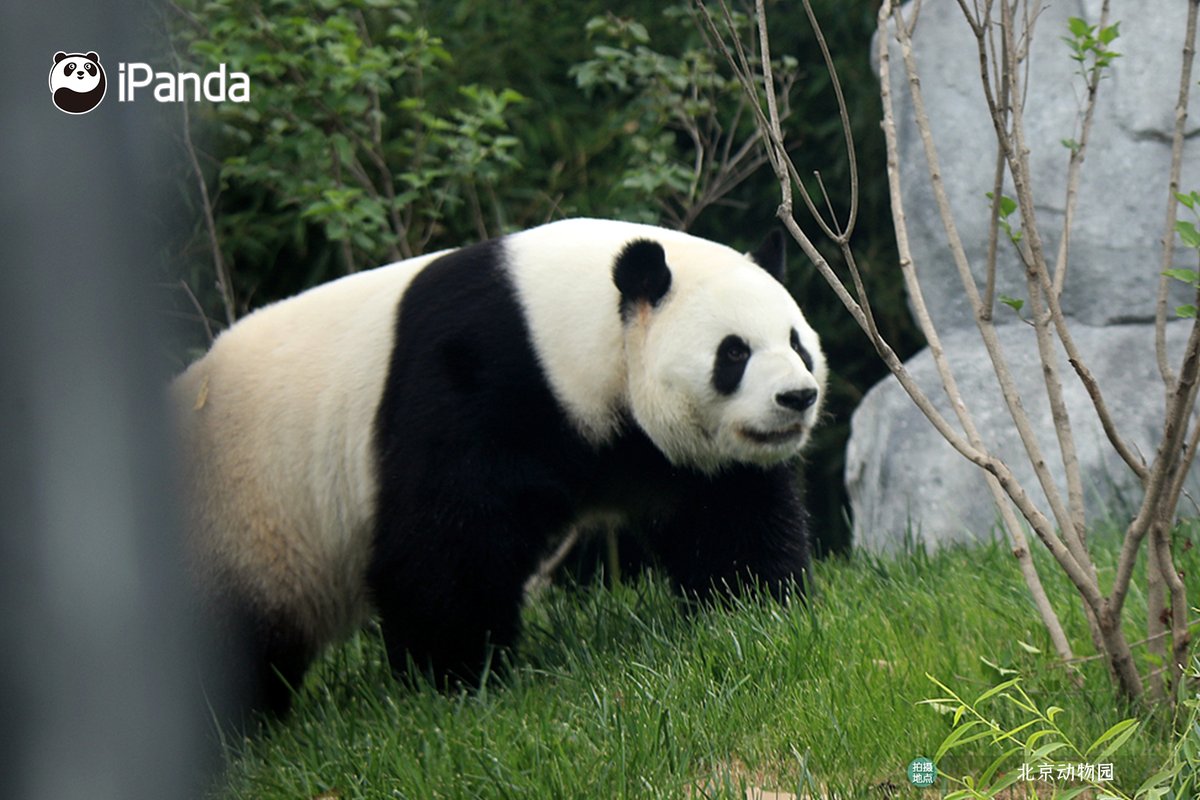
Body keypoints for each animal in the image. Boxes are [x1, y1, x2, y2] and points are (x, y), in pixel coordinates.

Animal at [173, 218, 826, 715]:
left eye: (797, 342)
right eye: (734, 352)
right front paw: (457, 678)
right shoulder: (471, 379)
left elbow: (729, 516)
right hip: (239, 525)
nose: (797, 397)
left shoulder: (666, 452)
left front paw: (756, 608)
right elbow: (444, 542)